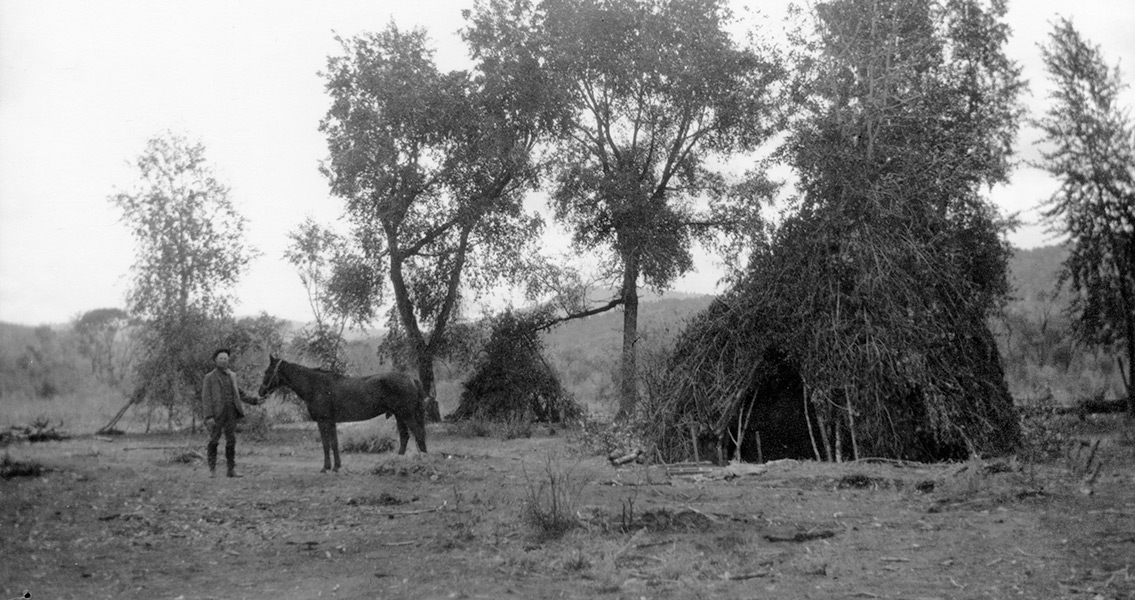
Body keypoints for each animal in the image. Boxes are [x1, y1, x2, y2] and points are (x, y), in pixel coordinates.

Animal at [259, 353, 426, 469]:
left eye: (267, 371)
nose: (260, 392)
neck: (315, 385)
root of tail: (411, 379)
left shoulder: (323, 421)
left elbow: (327, 444)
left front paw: (327, 467)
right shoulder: (330, 422)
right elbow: (332, 443)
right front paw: (335, 466)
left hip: (406, 415)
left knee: (418, 433)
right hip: (400, 416)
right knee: (405, 437)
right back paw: (397, 461)